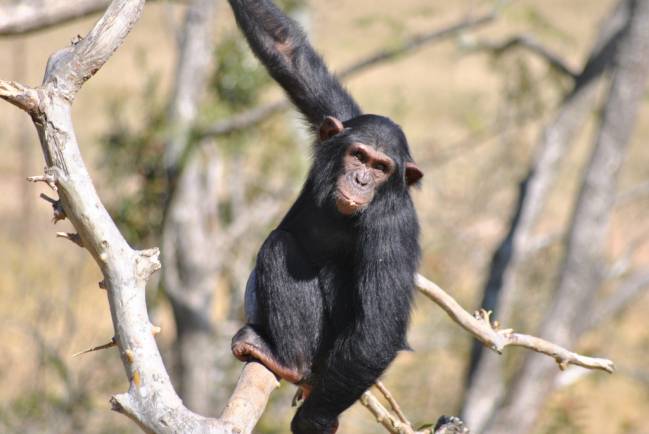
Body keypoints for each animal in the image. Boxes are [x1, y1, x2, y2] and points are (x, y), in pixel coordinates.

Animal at [230, 1, 422, 432]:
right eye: (359, 155)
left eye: (381, 168)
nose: (362, 179)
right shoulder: (339, 118)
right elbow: (288, 51)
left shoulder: (394, 225)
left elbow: (377, 332)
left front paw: (313, 420)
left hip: (326, 357)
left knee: (279, 247)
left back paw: (288, 362)